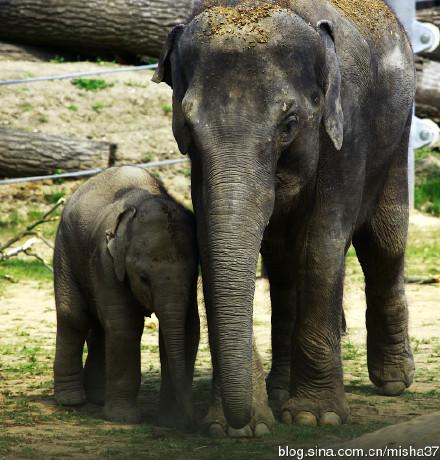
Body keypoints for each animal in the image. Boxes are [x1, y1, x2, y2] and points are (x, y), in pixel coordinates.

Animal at [53, 165, 199, 428]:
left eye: (193, 273)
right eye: (142, 277)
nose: (194, 422)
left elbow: (189, 327)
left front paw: (172, 421)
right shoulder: (106, 260)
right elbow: (124, 326)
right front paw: (123, 419)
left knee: (100, 325)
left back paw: (98, 398)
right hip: (65, 249)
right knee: (75, 316)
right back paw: (71, 401)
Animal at [153, 0, 414, 436]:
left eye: (290, 124)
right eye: (187, 127)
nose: (244, 420)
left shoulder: (347, 133)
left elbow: (322, 247)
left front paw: (315, 417)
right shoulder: (199, 170)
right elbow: (213, 244)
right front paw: (236, 426)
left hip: (398, 138)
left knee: (384, 242)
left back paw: (394, 381)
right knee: (282, 265)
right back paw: (279, 390)